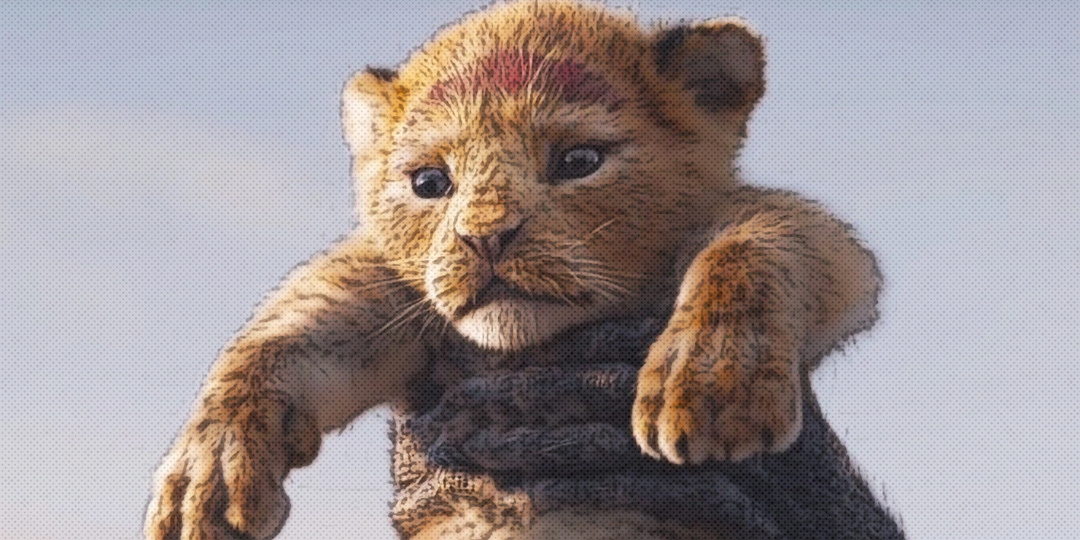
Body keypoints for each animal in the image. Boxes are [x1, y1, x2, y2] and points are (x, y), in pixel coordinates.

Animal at [145, 2, 882, 538]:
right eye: (430, 182)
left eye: (579, 161)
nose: (484, 238)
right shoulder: (400, 297)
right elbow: (283, 331)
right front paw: (205, 482)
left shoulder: (780, 231)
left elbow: (759, 243)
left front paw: (710, 383)